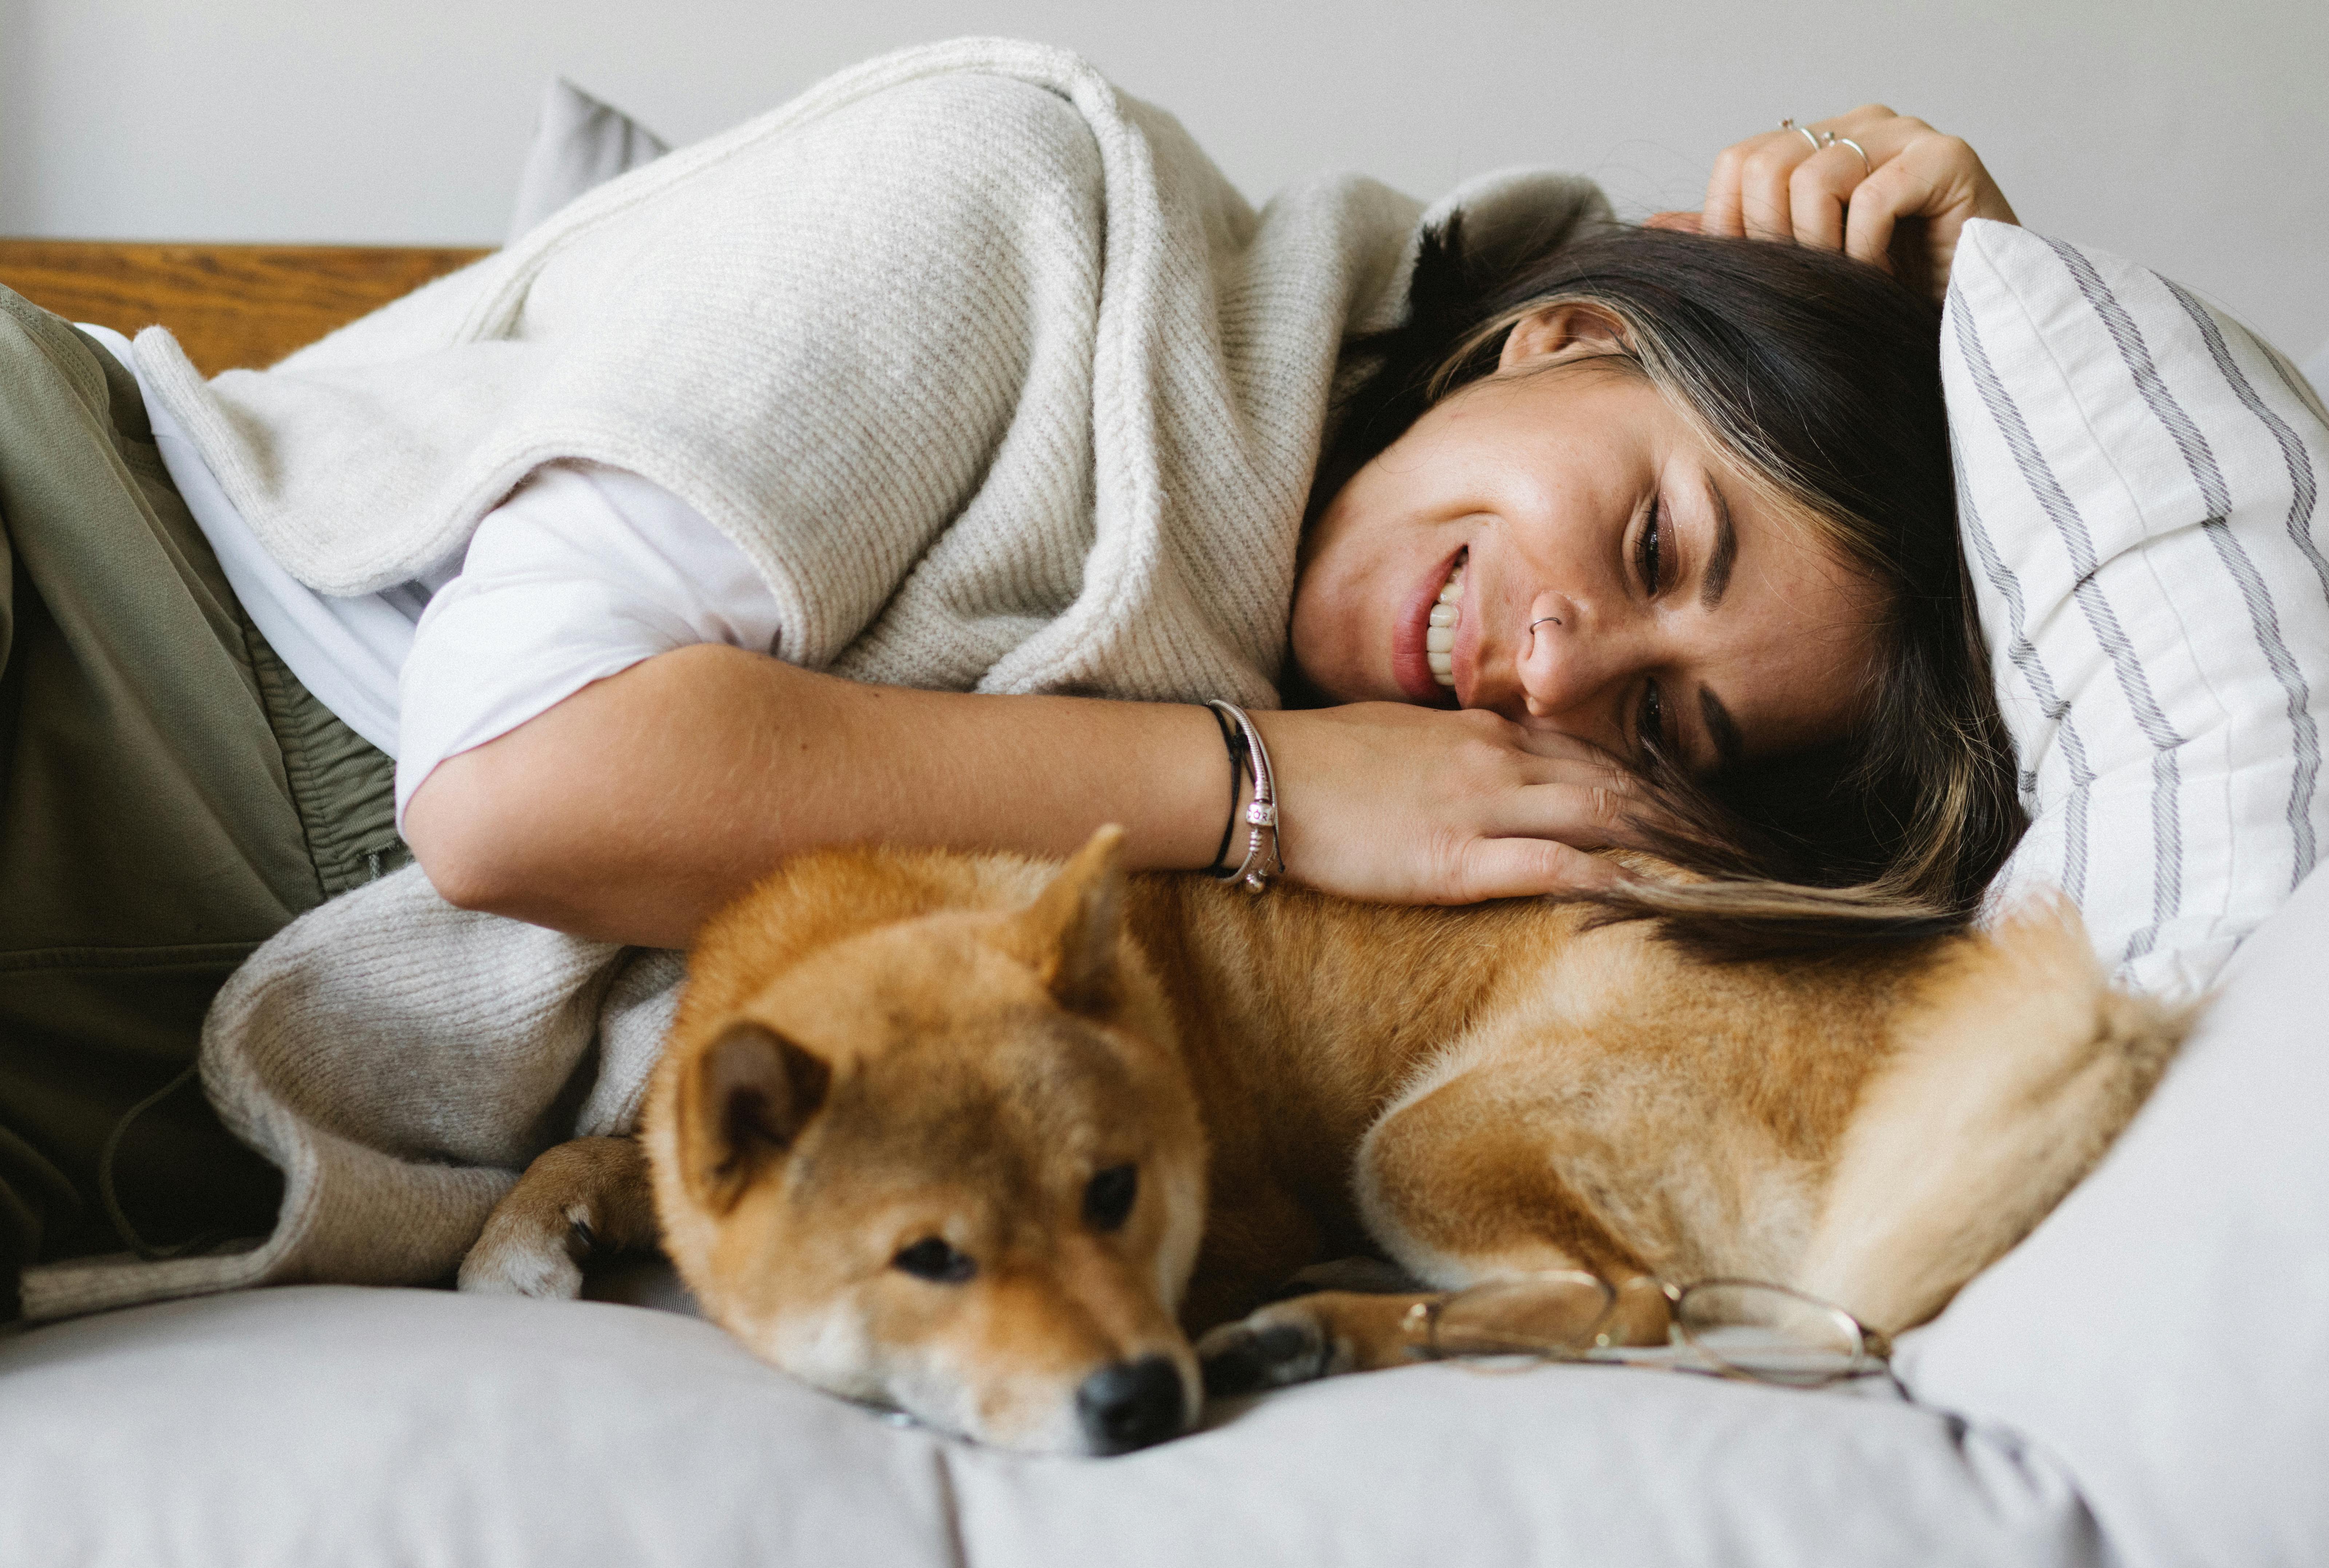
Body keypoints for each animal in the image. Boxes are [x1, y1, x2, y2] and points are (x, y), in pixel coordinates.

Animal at [459, 825, 2180, 1454]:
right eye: (929, 1258)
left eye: (1113, 1194)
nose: (1140, 1396)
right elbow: (603, 1150)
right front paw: (527, 1236)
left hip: (1424, 1137)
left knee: (1619, 1308)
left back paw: (1320, 1325)